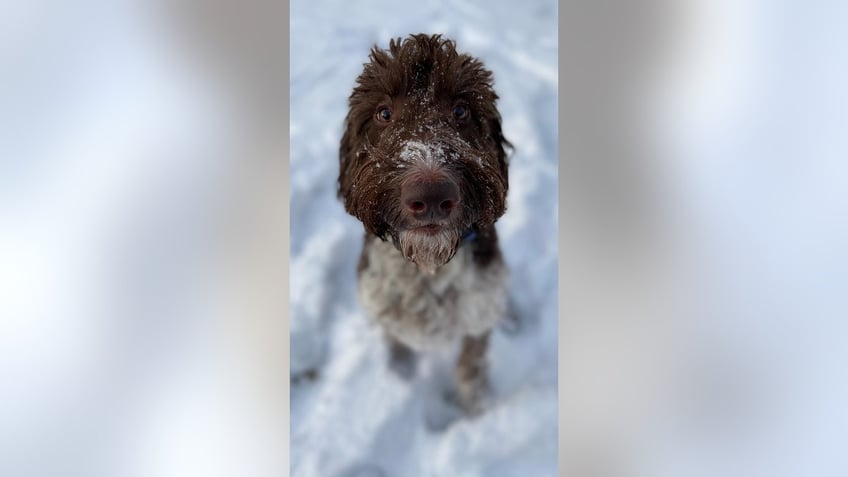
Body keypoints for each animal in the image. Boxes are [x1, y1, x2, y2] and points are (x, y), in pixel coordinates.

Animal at [338, 33, 510, 412]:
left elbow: (471, 370)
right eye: (384, 113)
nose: (431, 196)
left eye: (461, 110)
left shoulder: (479, 313)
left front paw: (474, 412)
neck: (427, 267)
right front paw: (398, 379)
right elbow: (397, 344)